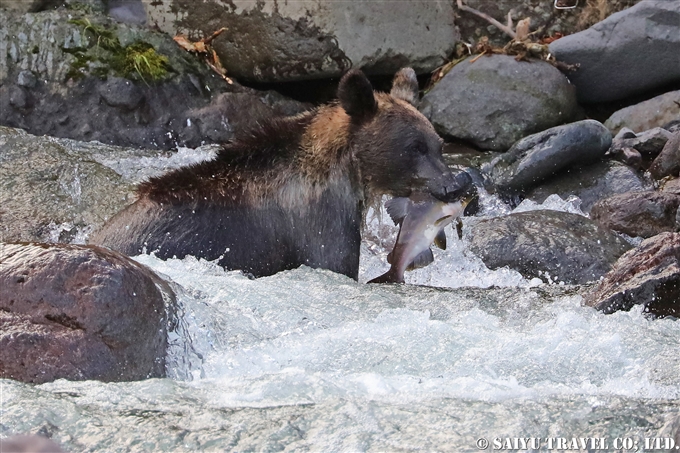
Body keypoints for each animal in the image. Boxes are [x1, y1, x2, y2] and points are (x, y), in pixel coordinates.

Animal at [90, 68, 470, 278]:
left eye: (437, 144)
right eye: (414, 147)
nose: (453, 185)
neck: (346, 172)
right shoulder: (318, 225)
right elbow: (333, 263)